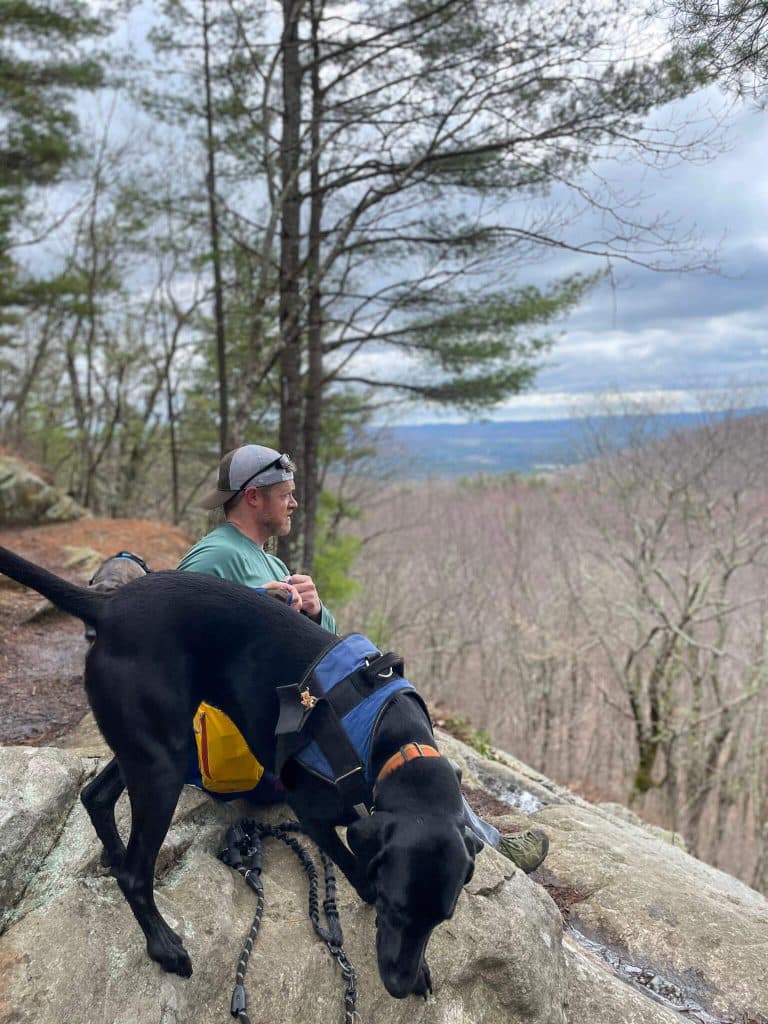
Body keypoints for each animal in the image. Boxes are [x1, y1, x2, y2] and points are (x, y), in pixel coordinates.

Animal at [0, 548, 481, 995]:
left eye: (442, 919)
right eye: (394, 906)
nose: (398, 985)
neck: (392, 738)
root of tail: (107, 605)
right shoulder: (311, 811)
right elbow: (356, 870)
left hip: (155, 745)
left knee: (96, 797)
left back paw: (115, 852)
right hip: (162, 766)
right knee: (134, 873)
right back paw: (163, 945)